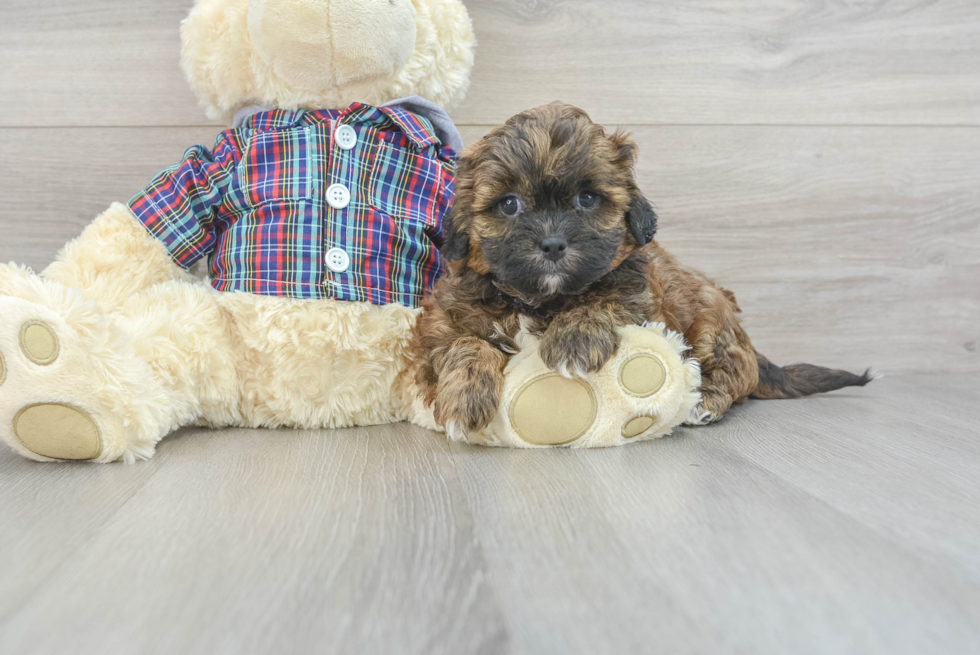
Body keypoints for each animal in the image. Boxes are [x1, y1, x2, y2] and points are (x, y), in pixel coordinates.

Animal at [410, 102, 868, 438]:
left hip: (711, 322)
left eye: (587, 199)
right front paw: (464, 396)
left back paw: (704, 403)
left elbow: (606, 300)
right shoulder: (439, 322)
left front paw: (575, 337)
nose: (553, 244)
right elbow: (463, 344)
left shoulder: (645, 300)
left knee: (734, 374)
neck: (541, 299)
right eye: (508, 204)